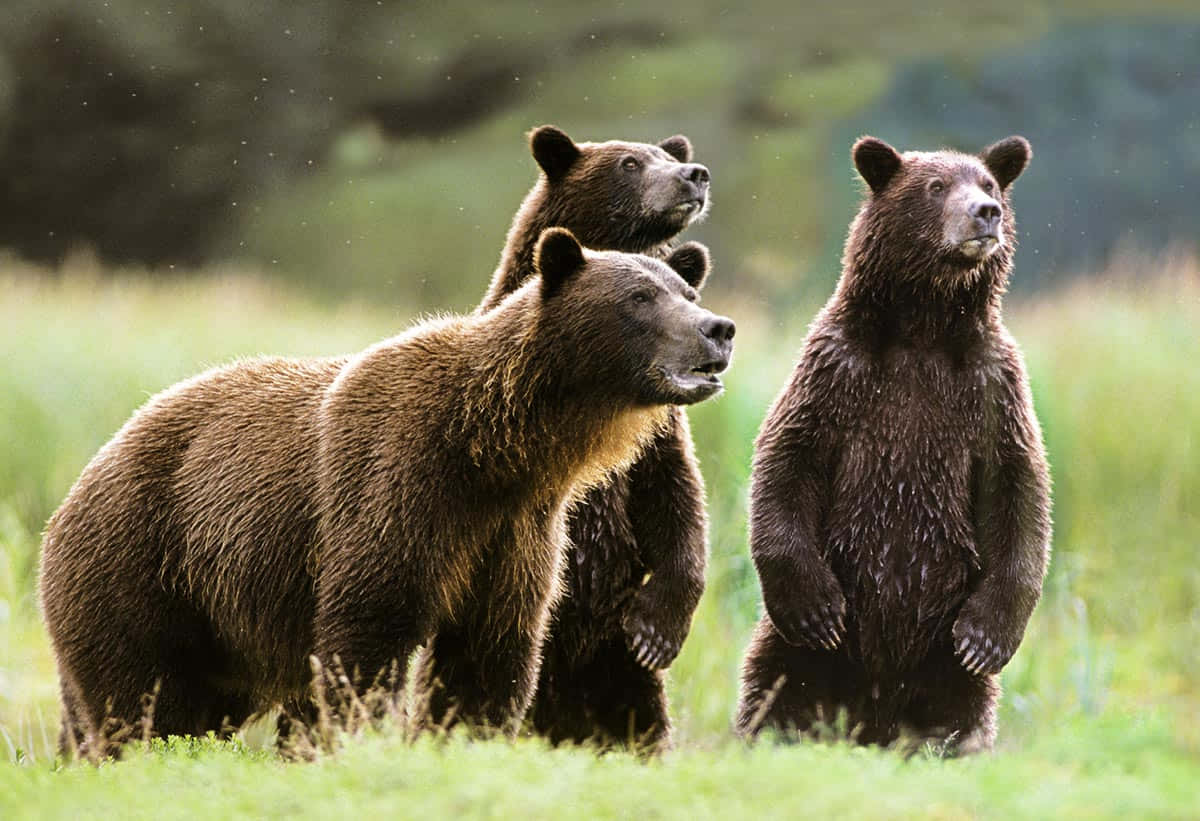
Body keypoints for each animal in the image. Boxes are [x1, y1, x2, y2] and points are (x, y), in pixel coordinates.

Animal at [38, 227, 735, 758]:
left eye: (687, 290)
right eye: (641, 296)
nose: (718, 329)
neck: (495, 448)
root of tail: (73, 489)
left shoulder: (515, 529)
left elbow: (489, 651)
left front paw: (464, 736)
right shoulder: (400, 483)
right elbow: (370, 629)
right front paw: (361, 735)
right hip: (147, 560)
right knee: (141, 694)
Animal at [420, 125, 714, 752]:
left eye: (668, 154)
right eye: (630, 163)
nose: (693, 175)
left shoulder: (656, 432)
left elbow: (676, 497)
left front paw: (658, 628)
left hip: (615, 670)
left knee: (641, 721)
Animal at [734, 135, 1051, 754]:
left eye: (989, 184)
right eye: (935, 186)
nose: (986, 213)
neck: (923, 331)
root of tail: (873, 717)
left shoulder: (991, 388)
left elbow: (1019, 488)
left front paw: (988, 635)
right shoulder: (837, 373)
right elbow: (787, 457)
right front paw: (816, 608)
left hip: (941, 658)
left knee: (961, 710)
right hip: (801, 655)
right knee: (775, 689)